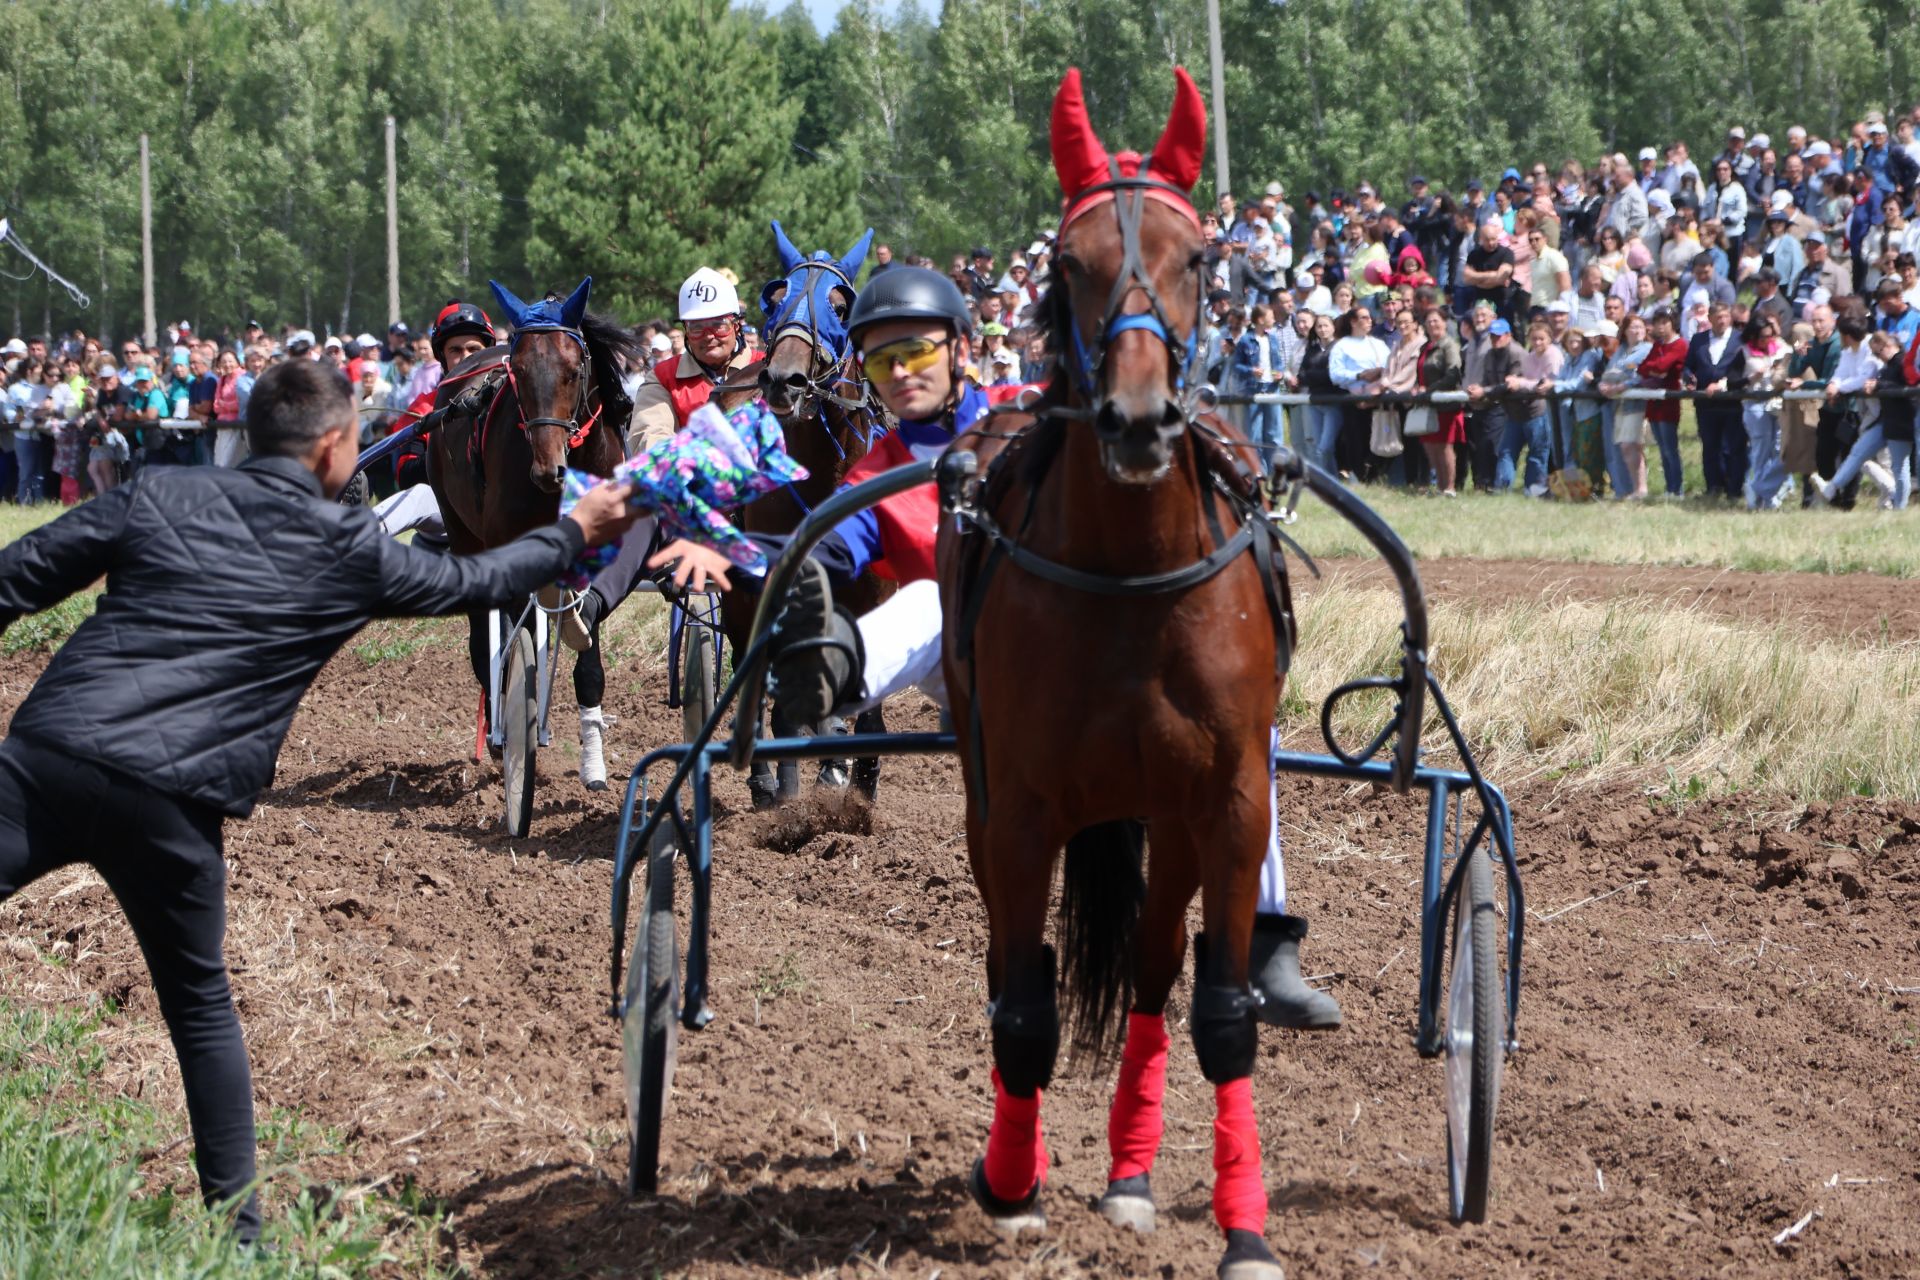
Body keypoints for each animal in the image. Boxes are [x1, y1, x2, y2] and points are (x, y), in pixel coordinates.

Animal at [428, 280, 637, 782]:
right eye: (518, 372)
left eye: (572, 371)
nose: (547, 469)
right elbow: (511, 646)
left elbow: (587, 647)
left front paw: (592, 762)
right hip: (461, 529)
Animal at [933, 72, 1290, 1280]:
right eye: (1068, 261)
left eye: (1201, 257)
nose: (1139, 421)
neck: (1131, 572)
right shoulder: (1021, 807)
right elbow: (1023, 1005)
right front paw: (1011, 1185)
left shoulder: (1229, 798)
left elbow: (1220, 1010)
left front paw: (1242, 1226)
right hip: (987, 791)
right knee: (1016, 966)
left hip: (1168, 817)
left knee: (1147, 963)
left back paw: (1131, 1174)